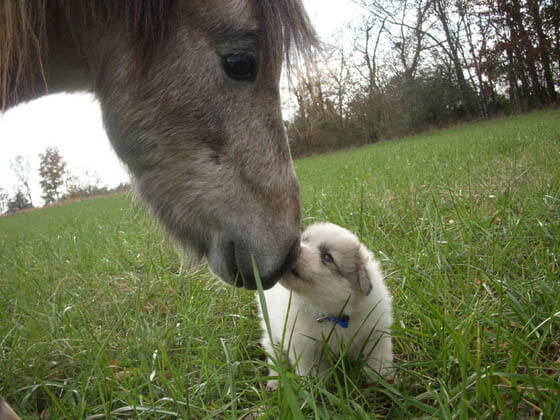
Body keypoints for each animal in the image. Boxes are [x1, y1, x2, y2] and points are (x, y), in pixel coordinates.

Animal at [260, 221, 394, 388]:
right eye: (304, 239)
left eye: (327, 257)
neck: (332, 315)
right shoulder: (305, 347)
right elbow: (312, 371)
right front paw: (316, 388)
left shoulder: (375, 332)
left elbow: (378, 357)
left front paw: (382, 380)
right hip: (271, 325)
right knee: (272, 349)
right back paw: (275, 381)